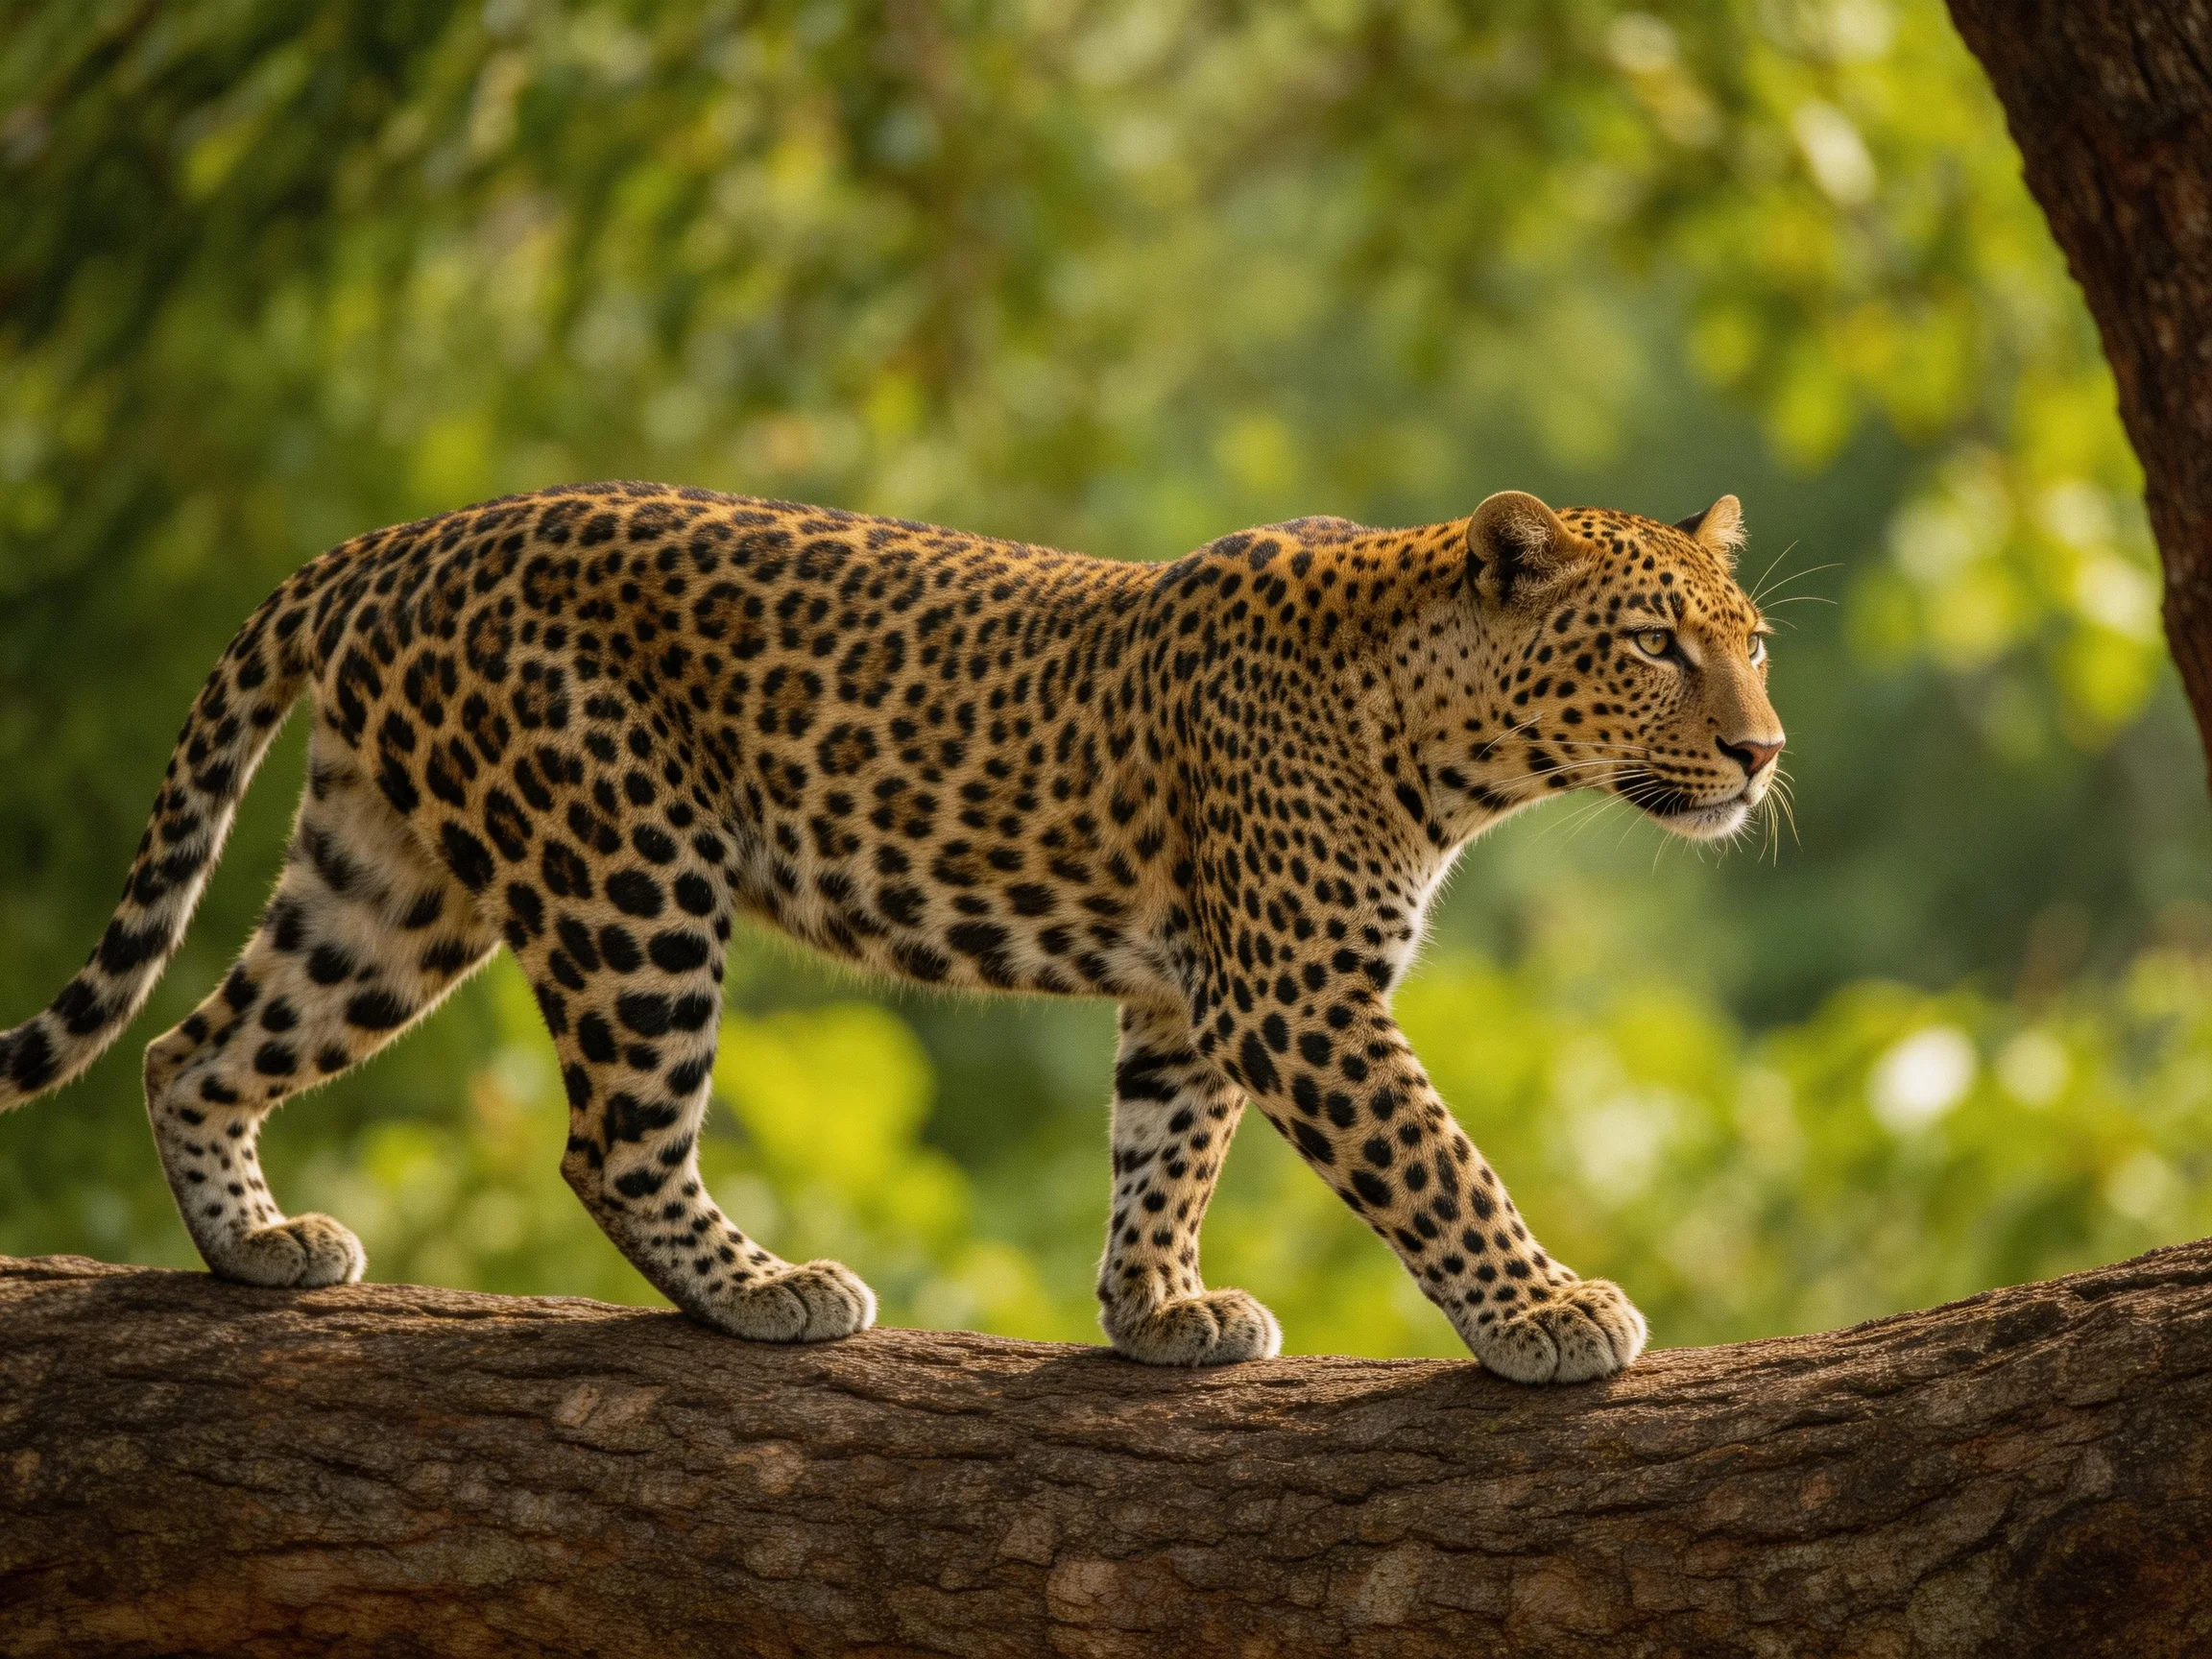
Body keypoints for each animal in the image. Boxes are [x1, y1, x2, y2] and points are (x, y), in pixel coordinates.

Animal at [0, 481, 1782, 1383]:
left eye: (1750, 643)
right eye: (1649, 642)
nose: (1764, 752)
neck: (1448, 744)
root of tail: (396, 542)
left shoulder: (1191, 995)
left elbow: (1164, 1151)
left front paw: (1156, 1312)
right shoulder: (1299, 997)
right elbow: (1437, 1165)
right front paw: (1547, 1313)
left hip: (389, 879)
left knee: (191, 1046)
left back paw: (252, 1244)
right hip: (628, 870)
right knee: (611, 1143)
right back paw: (765, 1288)